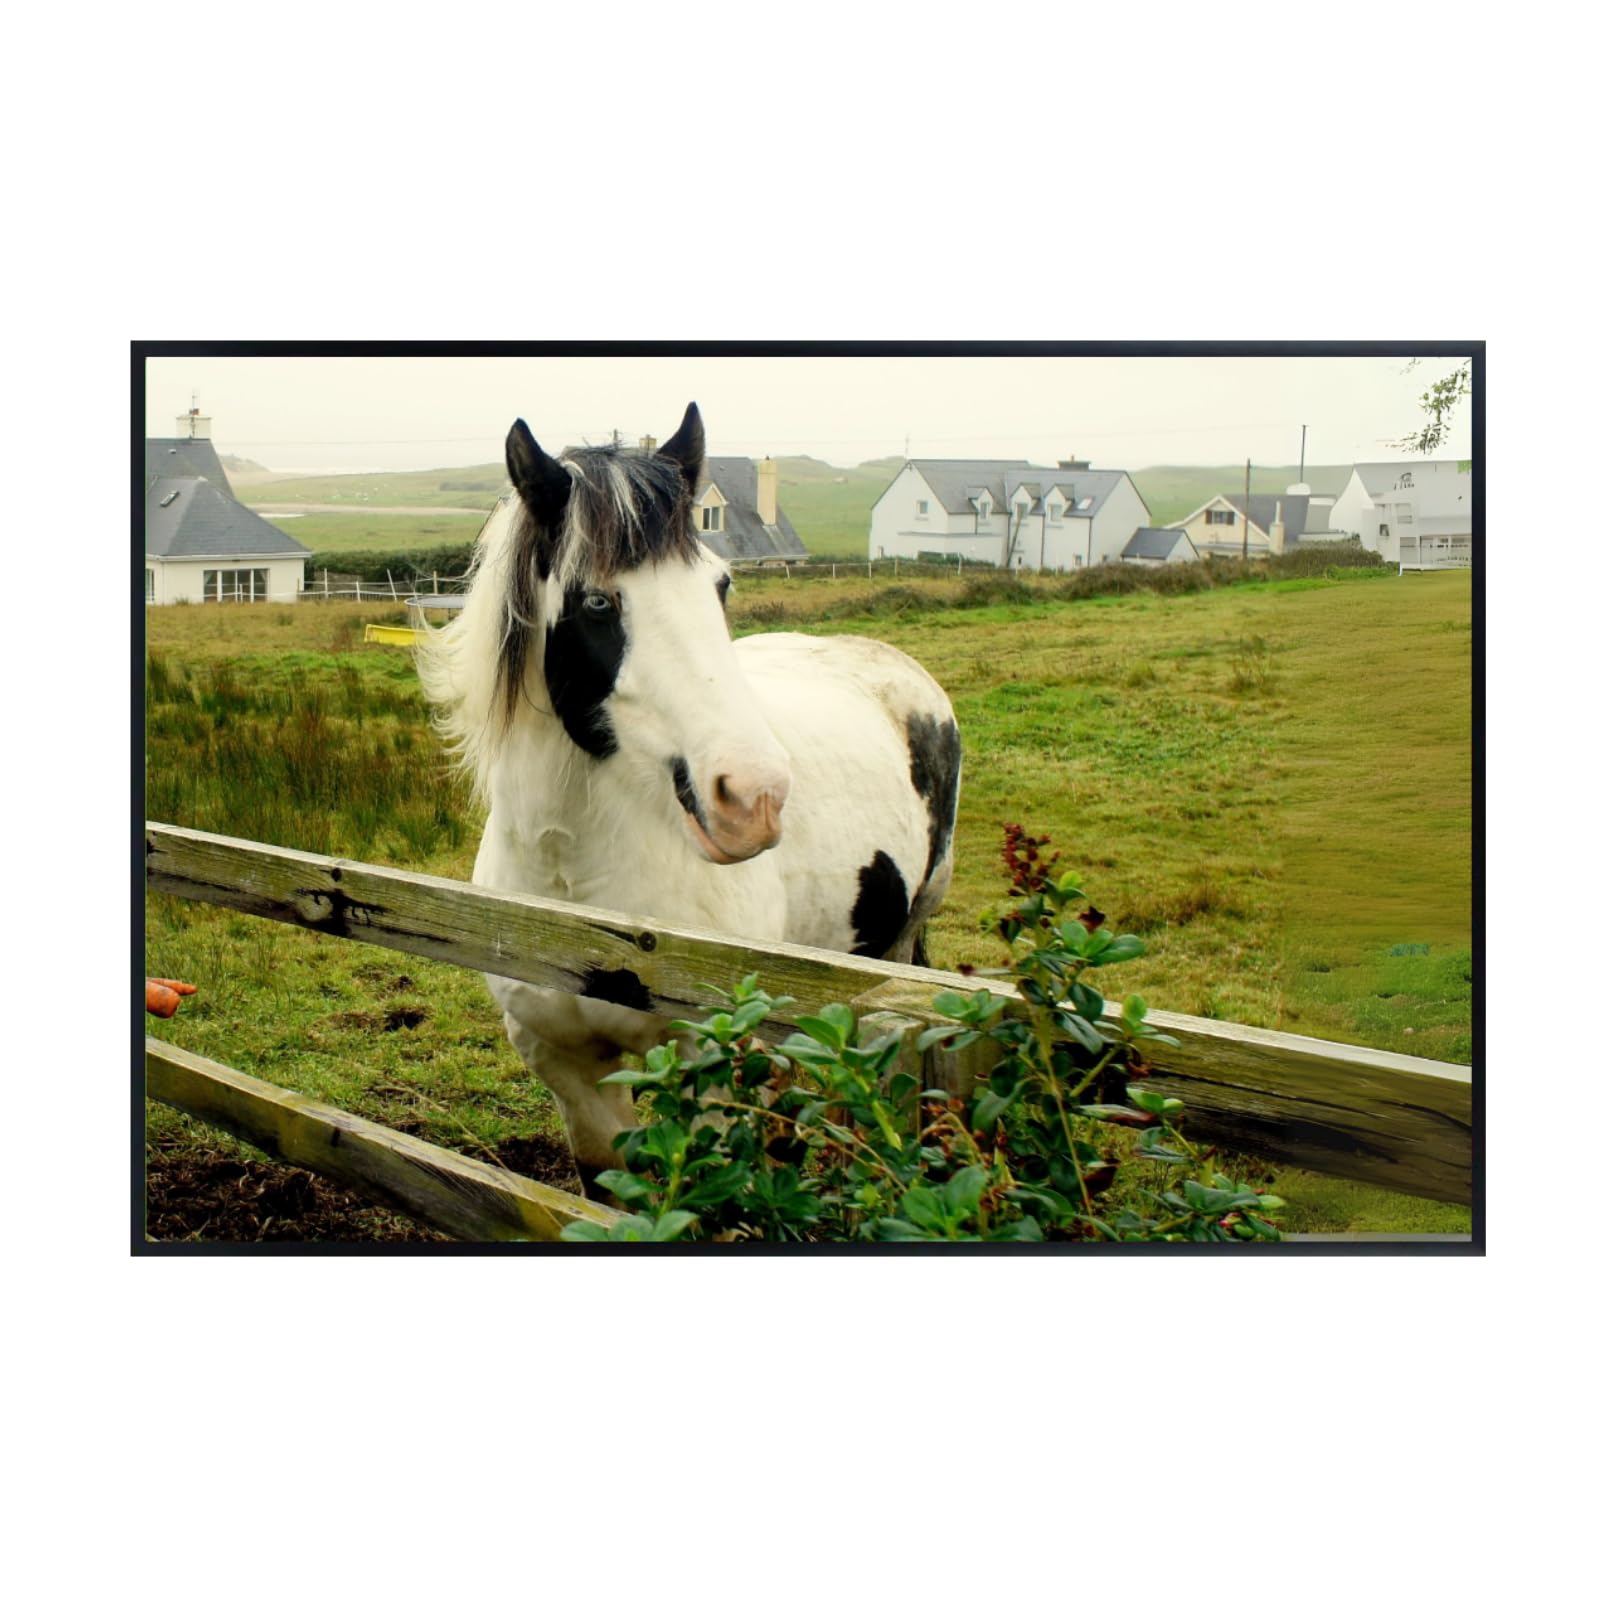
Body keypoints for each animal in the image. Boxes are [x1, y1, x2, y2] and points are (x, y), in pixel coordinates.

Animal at [418, 403, 961, 1189]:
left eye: (721, 585)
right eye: (597, 599)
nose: (754, 797)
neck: (572, 884)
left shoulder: (709, 1065)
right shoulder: (567, 1069)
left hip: (895, 943)